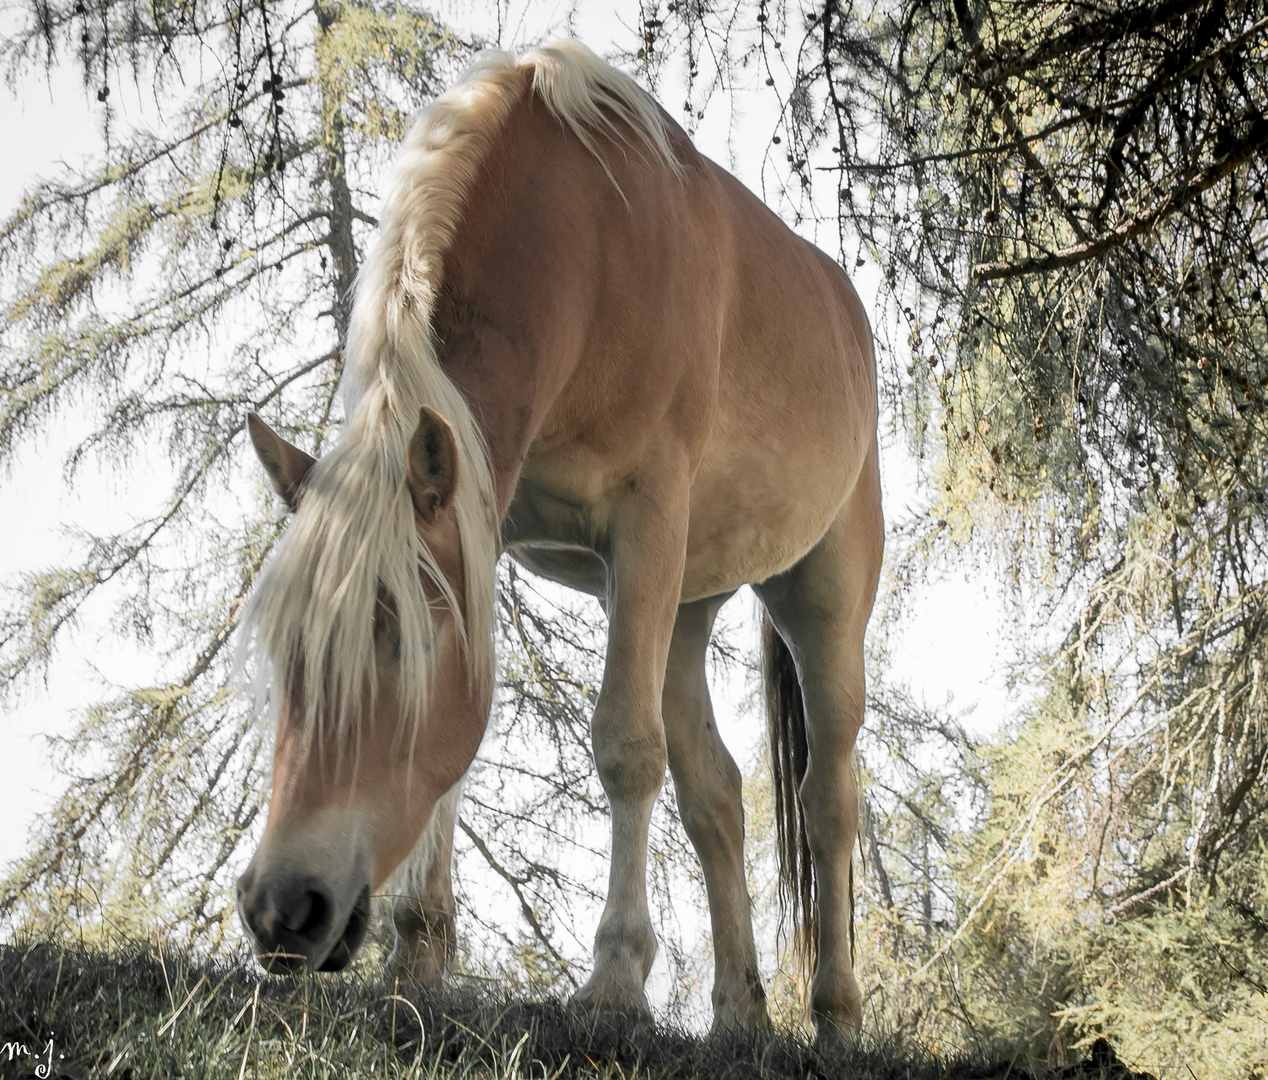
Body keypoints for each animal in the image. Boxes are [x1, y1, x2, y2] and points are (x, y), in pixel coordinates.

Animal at [233, 42, 877, 1034]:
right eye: (284, 650)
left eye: (399, 640)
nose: (281, 910)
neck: (585, 241)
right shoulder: (485, 527)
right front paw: (418, 957)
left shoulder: (645, 523)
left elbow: (625, 748)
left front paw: (615, 978)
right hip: (683, 604)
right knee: (717, 795)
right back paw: (739, 1013)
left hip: (819, 594)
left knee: (827, 801)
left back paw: (835, 1013)